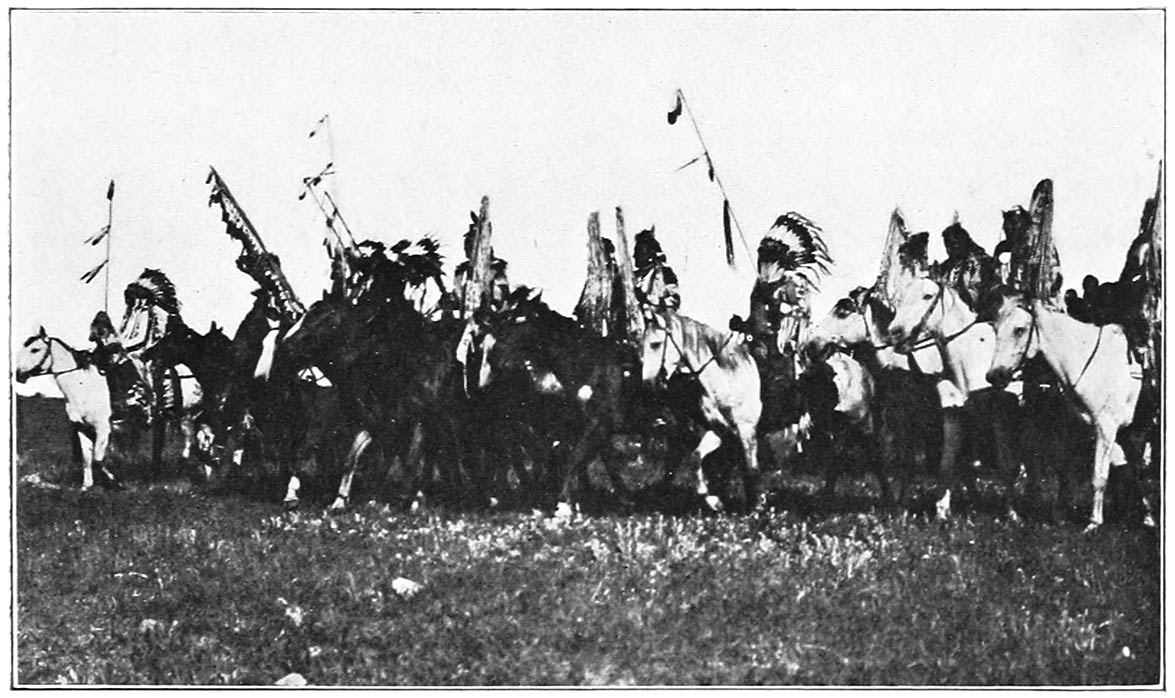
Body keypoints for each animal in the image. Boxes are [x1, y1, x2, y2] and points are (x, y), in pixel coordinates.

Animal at [15, 329, 121, 486]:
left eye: (35, 349)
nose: (17, 374)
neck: (83, 387)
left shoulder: (103, 428)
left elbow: (97, 459)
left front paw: (114, 481)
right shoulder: (82, 428)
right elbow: (87, 459)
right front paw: (87, 486)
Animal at [643, 310, 761, 509]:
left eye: (655, 344)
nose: (648, 384)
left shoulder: (746, 429)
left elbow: (750, 467)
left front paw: (756, 505)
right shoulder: (717, 429)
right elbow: (697, 458)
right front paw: (713, 499)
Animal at [982, 287, 1156, 526]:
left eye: (1019, 329)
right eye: (995, 328)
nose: (994, 376)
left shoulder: (1107, 427)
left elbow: (1100, 476)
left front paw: (1094, 522)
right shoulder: (1087, 428)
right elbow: (1071, 471)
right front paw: (1060, 515)